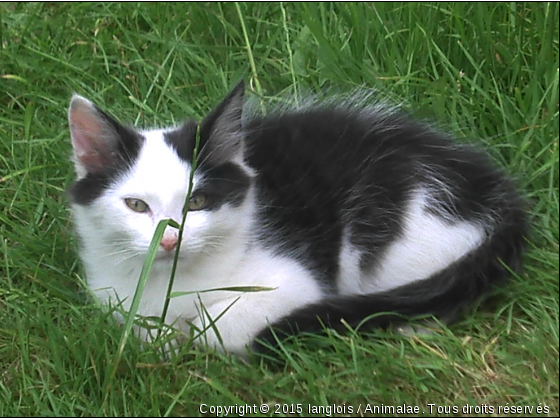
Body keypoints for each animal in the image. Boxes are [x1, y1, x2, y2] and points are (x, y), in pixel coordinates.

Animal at [68, 81, 528, 358]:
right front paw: (166, 339)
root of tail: (498, 192)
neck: (172, 281)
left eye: (196, 202)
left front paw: (198, 337)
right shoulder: (112, 296)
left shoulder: (294, 281)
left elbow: (217, 327)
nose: (168, 241)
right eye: (136, 206)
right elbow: (145, 330)